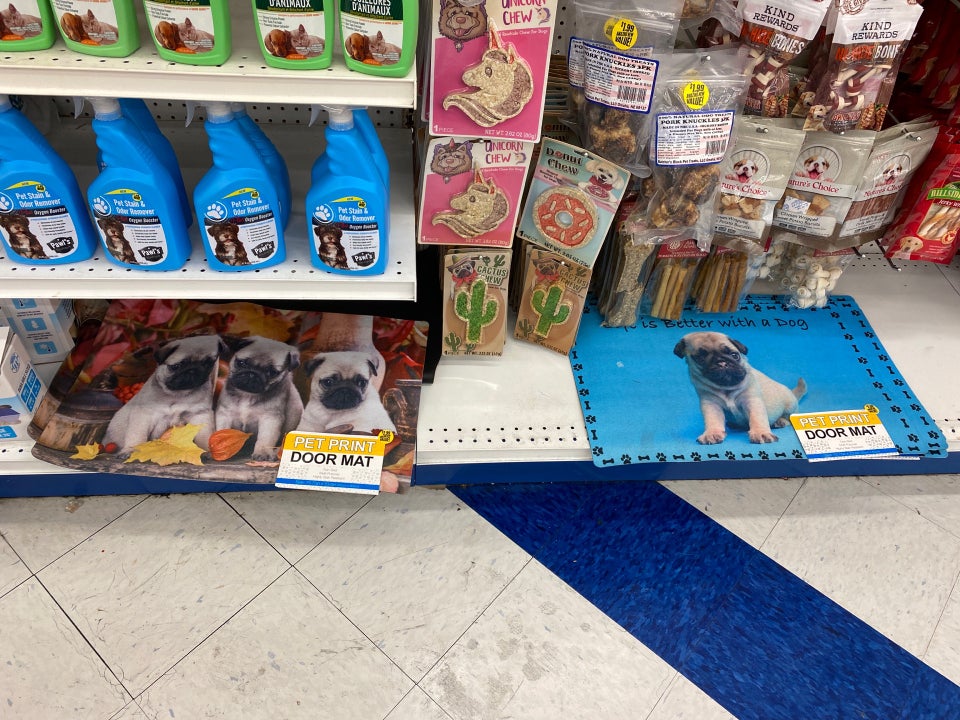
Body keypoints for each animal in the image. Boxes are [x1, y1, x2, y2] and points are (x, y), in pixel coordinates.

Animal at [674, 332, 806, 445]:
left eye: (734, 355)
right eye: (700, 358)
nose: (722, 363)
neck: (726, 388)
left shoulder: (752, 401)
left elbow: (757, 418)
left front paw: (760, 433)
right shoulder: (711, 405)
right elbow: (712, 420)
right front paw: (711, 433)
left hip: (790, 405)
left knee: (790, 416)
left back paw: (781, 421)